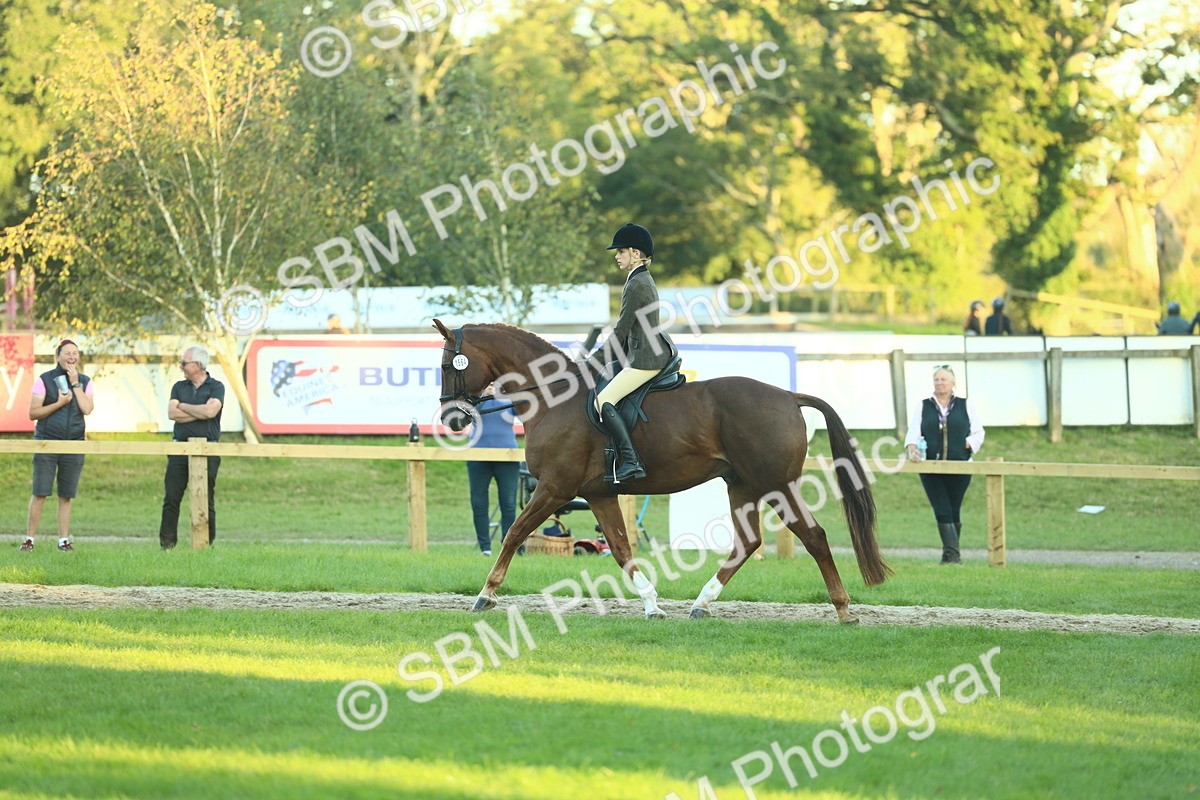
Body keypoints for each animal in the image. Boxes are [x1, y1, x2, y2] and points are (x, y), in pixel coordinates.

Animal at [435, 320, 891, 622]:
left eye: (448, 365)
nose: (451, 419)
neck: (554, 398)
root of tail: (787, 395)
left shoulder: (554, 488)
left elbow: (513, 533)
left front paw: (486, 595)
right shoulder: (598, 494)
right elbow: (621, 549)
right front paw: (652, 604)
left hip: (777, 484)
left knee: (813, 536)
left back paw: (844, 609)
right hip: (742, 485)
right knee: (747, 542)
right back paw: (701, 603)